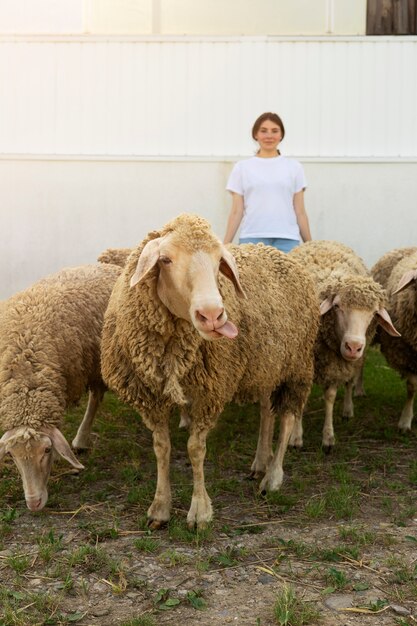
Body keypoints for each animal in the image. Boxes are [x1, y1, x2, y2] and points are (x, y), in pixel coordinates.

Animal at [0, 260, 122, 510]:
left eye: (47, 450)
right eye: (11, 456)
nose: (34, 503)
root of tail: (106, 265)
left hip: (97, 361)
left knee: (95, 398)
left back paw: (81, 439)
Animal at [101, 213, 318, 528]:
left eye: (219, 262)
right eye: (165, 259)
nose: (213, 315)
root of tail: (275, 251)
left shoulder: (209, 393)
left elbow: (195, 448)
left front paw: (199, 512)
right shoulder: (150, 397)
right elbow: (161, 447)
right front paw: (159, 508)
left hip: (296, 366)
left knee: (288, 417)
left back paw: (272, 477)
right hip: (266, 366)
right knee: (267, 412)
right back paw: (260, 462)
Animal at [288, 239, 398, 448]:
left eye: (374, 313)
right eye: (337, 306)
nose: (353, 347)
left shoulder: (336, 365)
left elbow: (331, 396)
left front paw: (328, 437)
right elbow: (301, 399)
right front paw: (296, 437)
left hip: (354, 363)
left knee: (349, 383)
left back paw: (348, 409)